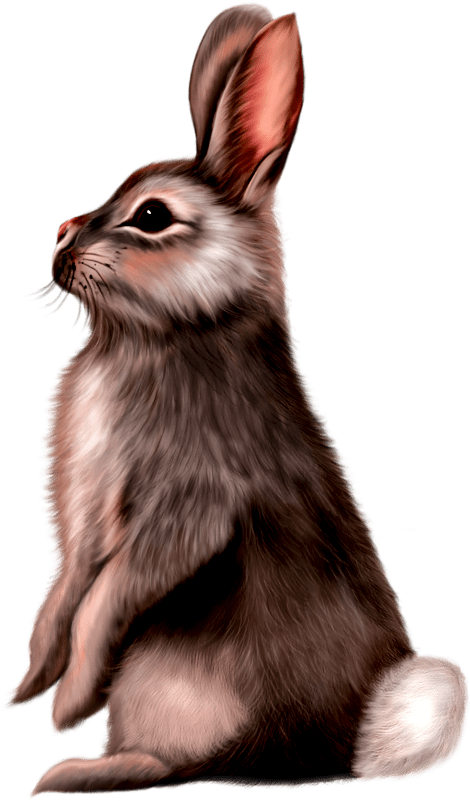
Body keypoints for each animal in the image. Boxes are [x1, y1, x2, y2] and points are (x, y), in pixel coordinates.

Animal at [5, 2, 468, 796]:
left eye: (151, 216)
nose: (61, 239)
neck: (167, 329)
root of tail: (337, 753)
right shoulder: (81, 525)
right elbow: (61, 599)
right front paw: (27, 688)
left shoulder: (188, 502)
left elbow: (104, 600)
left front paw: (65, 710)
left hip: (171, 677)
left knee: (201, 763)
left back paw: (72, 769)